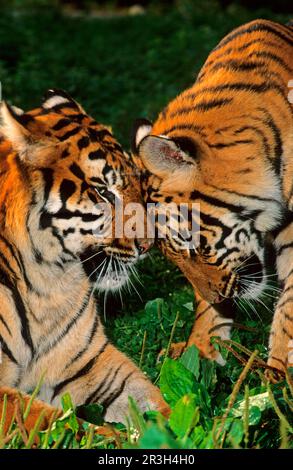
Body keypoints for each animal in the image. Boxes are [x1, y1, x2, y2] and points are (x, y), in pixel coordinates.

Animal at [0, 88, 168, 430]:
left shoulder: (88, 362)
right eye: (104, 192)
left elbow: (152, 400)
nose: (148, 244)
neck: (45, 282)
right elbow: (61, 425)